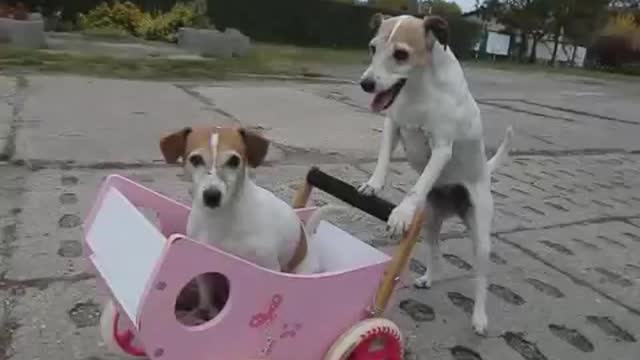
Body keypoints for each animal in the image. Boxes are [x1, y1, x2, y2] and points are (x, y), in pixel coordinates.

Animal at [160, 126, 338, 318]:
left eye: (234, 160)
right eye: (195, 159)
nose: (212, 196)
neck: (219, 219)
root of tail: (308, 238)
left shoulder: (269, 267)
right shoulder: (204, 268)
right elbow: (207, 299)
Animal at [358, 14, 512, 334]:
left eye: (401, 54)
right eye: (372, 48)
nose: (366, 84)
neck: (420, 89)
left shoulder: (441, 149)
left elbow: (419, 184)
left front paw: (402, 212)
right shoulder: (392, 126)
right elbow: (382, 160)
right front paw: (374, 185)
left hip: (481, 236)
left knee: (481, 278)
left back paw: (479, 317)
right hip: (429, 222)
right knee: (437, 254)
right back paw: (430, 277)